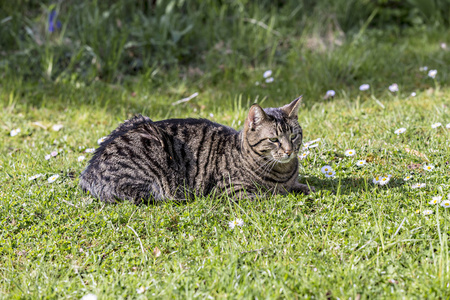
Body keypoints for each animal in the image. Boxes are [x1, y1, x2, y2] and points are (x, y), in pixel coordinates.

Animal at [79, 96, 314, 204]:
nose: (289, 151)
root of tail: (87, 172)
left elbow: (303, 186)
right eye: (274, 139)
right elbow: (269, 195)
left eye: (294, 135)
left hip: (138, 118)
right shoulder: (231, 190)